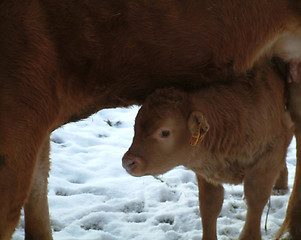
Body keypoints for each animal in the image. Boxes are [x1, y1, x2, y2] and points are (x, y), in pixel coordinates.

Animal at [122, 62, 292, 240]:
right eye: (136, 125)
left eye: (165, 132)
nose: (128, 161)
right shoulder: (207, 172)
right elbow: (209, 205)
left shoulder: (269, 158)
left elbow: (255, 198)